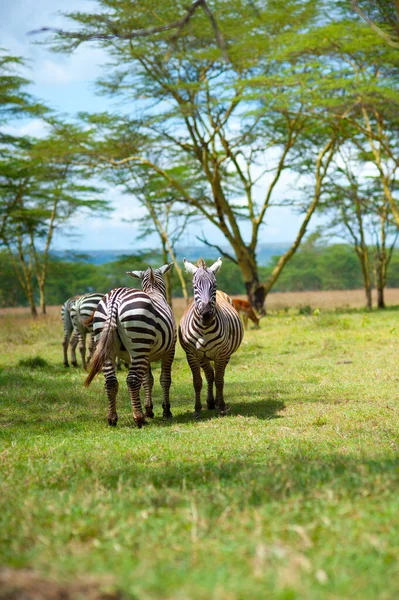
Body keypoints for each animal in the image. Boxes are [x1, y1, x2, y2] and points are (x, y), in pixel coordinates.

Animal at [84, 264, 177, 428]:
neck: (154, 291)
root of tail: (115, 299)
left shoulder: (146, 354)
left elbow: (148, 380)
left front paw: (149, 410)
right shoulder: (169, 350)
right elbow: (165, 379)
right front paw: (166, 411)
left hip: (108, 343)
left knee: (111, 381)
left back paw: (112, 418)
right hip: (139, 341)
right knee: (132, 380)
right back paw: (139, 418)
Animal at [178, 258, 244, 418]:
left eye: (214, 285)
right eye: (195, 286)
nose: (207, 314)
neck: (204, 329)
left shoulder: (221, 353)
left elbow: (220, 380)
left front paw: (222, 406)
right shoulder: (192, 354)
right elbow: (197, 381)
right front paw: (197, 409)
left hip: (225, 354)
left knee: (218, 375)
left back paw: (218, 401)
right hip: (204, 356)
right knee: (209, 374)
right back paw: (210, 402)